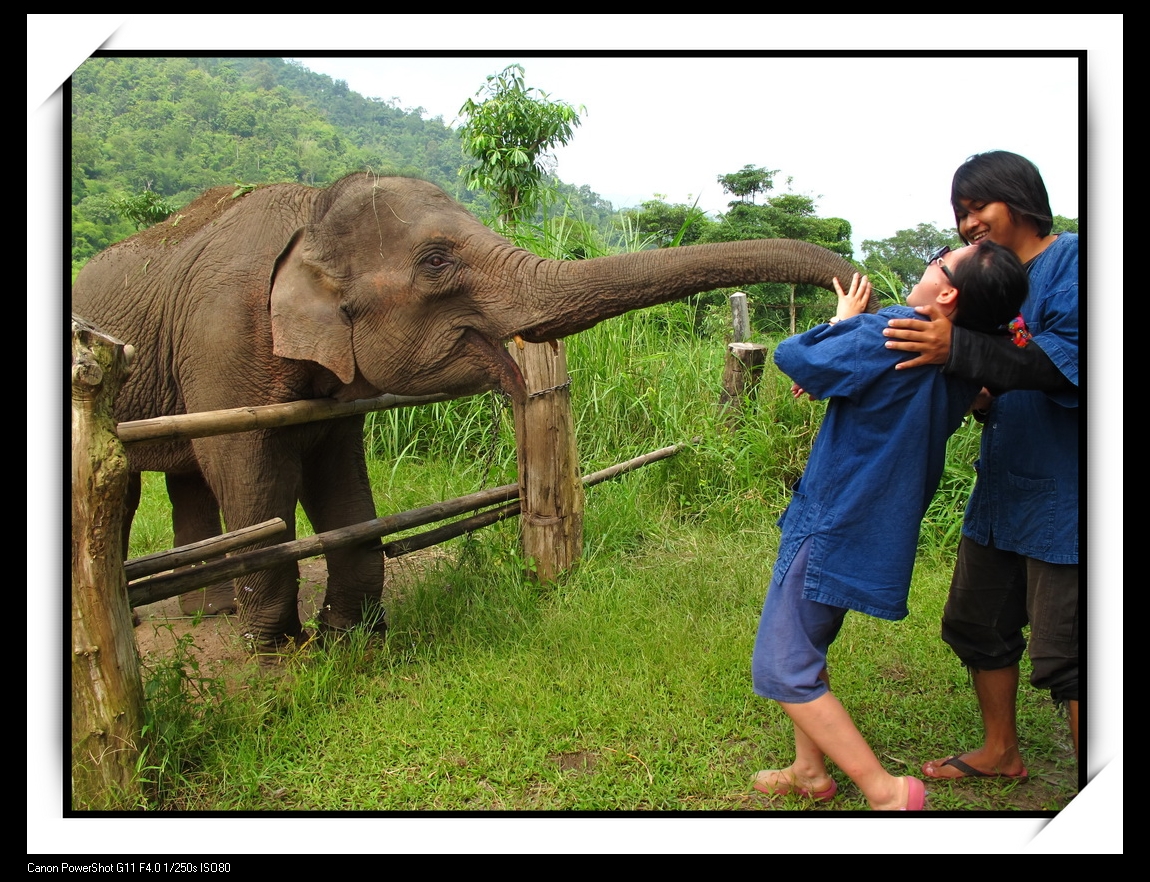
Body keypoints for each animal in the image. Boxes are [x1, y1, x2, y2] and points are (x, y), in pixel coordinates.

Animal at [71, 170, 864, 653]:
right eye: (436, 262)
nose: (860, 290)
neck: (311, 210)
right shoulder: (225, 335)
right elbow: (251, 469)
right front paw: (280, 650)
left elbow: (341, 478)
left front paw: (351, 638)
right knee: (149, 481)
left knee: (184, 478)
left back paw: (209, 614)